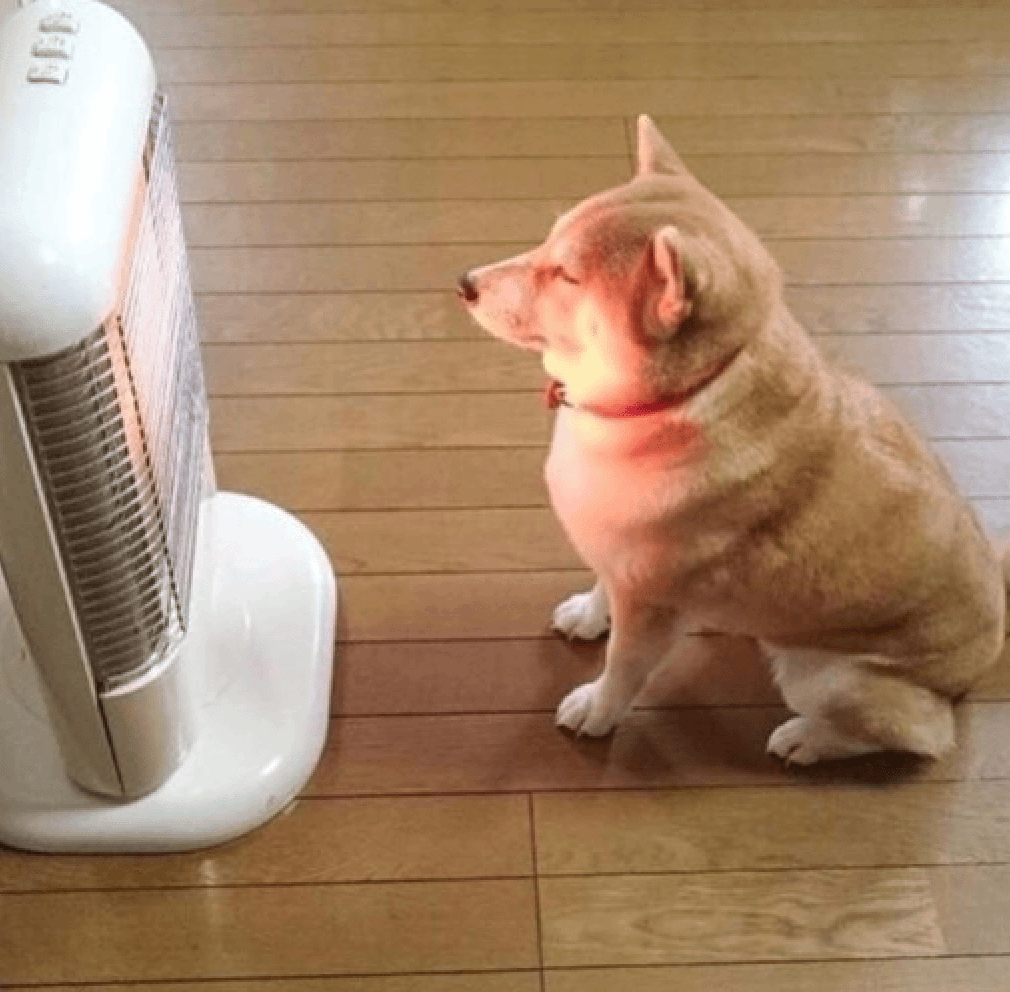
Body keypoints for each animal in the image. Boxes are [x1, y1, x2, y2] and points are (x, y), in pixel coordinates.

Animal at [460, 112, 1010, 763]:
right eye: (547, 240)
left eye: (566, 275)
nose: (464, 282)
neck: (669, 400)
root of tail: (990, 643)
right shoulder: (622, 561)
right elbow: (601, 585)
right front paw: (590, 614)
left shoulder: (651, 606)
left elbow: (623, 670)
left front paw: (598, 710)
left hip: (827, 678)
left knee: (922, 737)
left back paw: (807, 740)